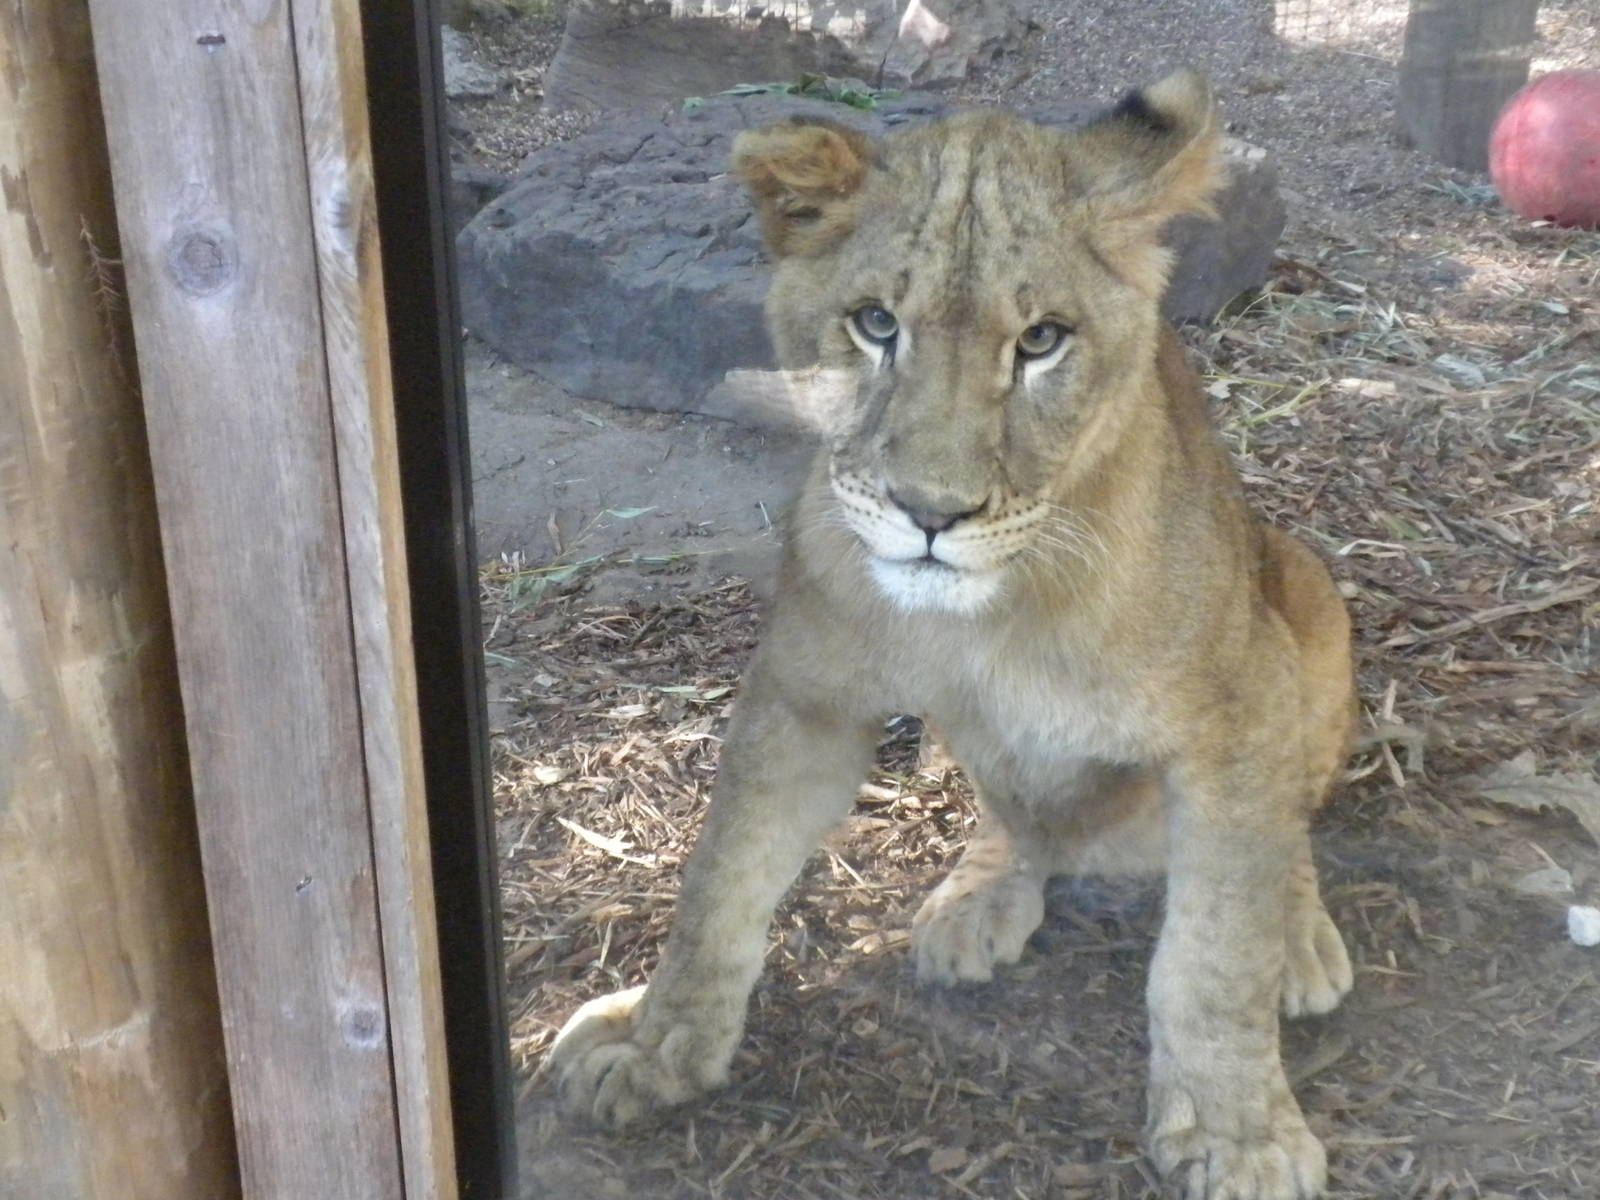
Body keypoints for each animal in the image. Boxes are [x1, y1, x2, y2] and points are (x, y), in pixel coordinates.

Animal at [549, 69, 1356, 1200]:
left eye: (1042, 340)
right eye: (874, 324)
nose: (931, 514)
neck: (995, 615)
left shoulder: (1241, 708)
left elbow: (1211, 956)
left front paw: (1239, 1134)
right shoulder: (803, 693)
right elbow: (719, 877)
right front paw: (655, 1045)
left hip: (1305, 591)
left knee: (1283, 833)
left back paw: (1297, 935)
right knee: (1019, 818)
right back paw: (979, 903)